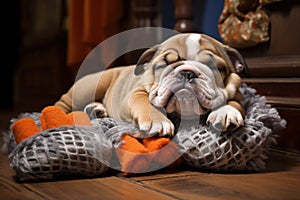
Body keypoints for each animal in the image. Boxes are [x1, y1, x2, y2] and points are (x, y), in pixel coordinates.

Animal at [55, 33, 250, 138]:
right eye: (164, 64)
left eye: (215, 67)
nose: (187, 72)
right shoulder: (135, 93)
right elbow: (145, 103)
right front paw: (158, 122)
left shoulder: (237, 94)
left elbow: (233, 101)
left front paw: (226, 112)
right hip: (89, 87)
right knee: (63, 103)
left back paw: (96, 110)